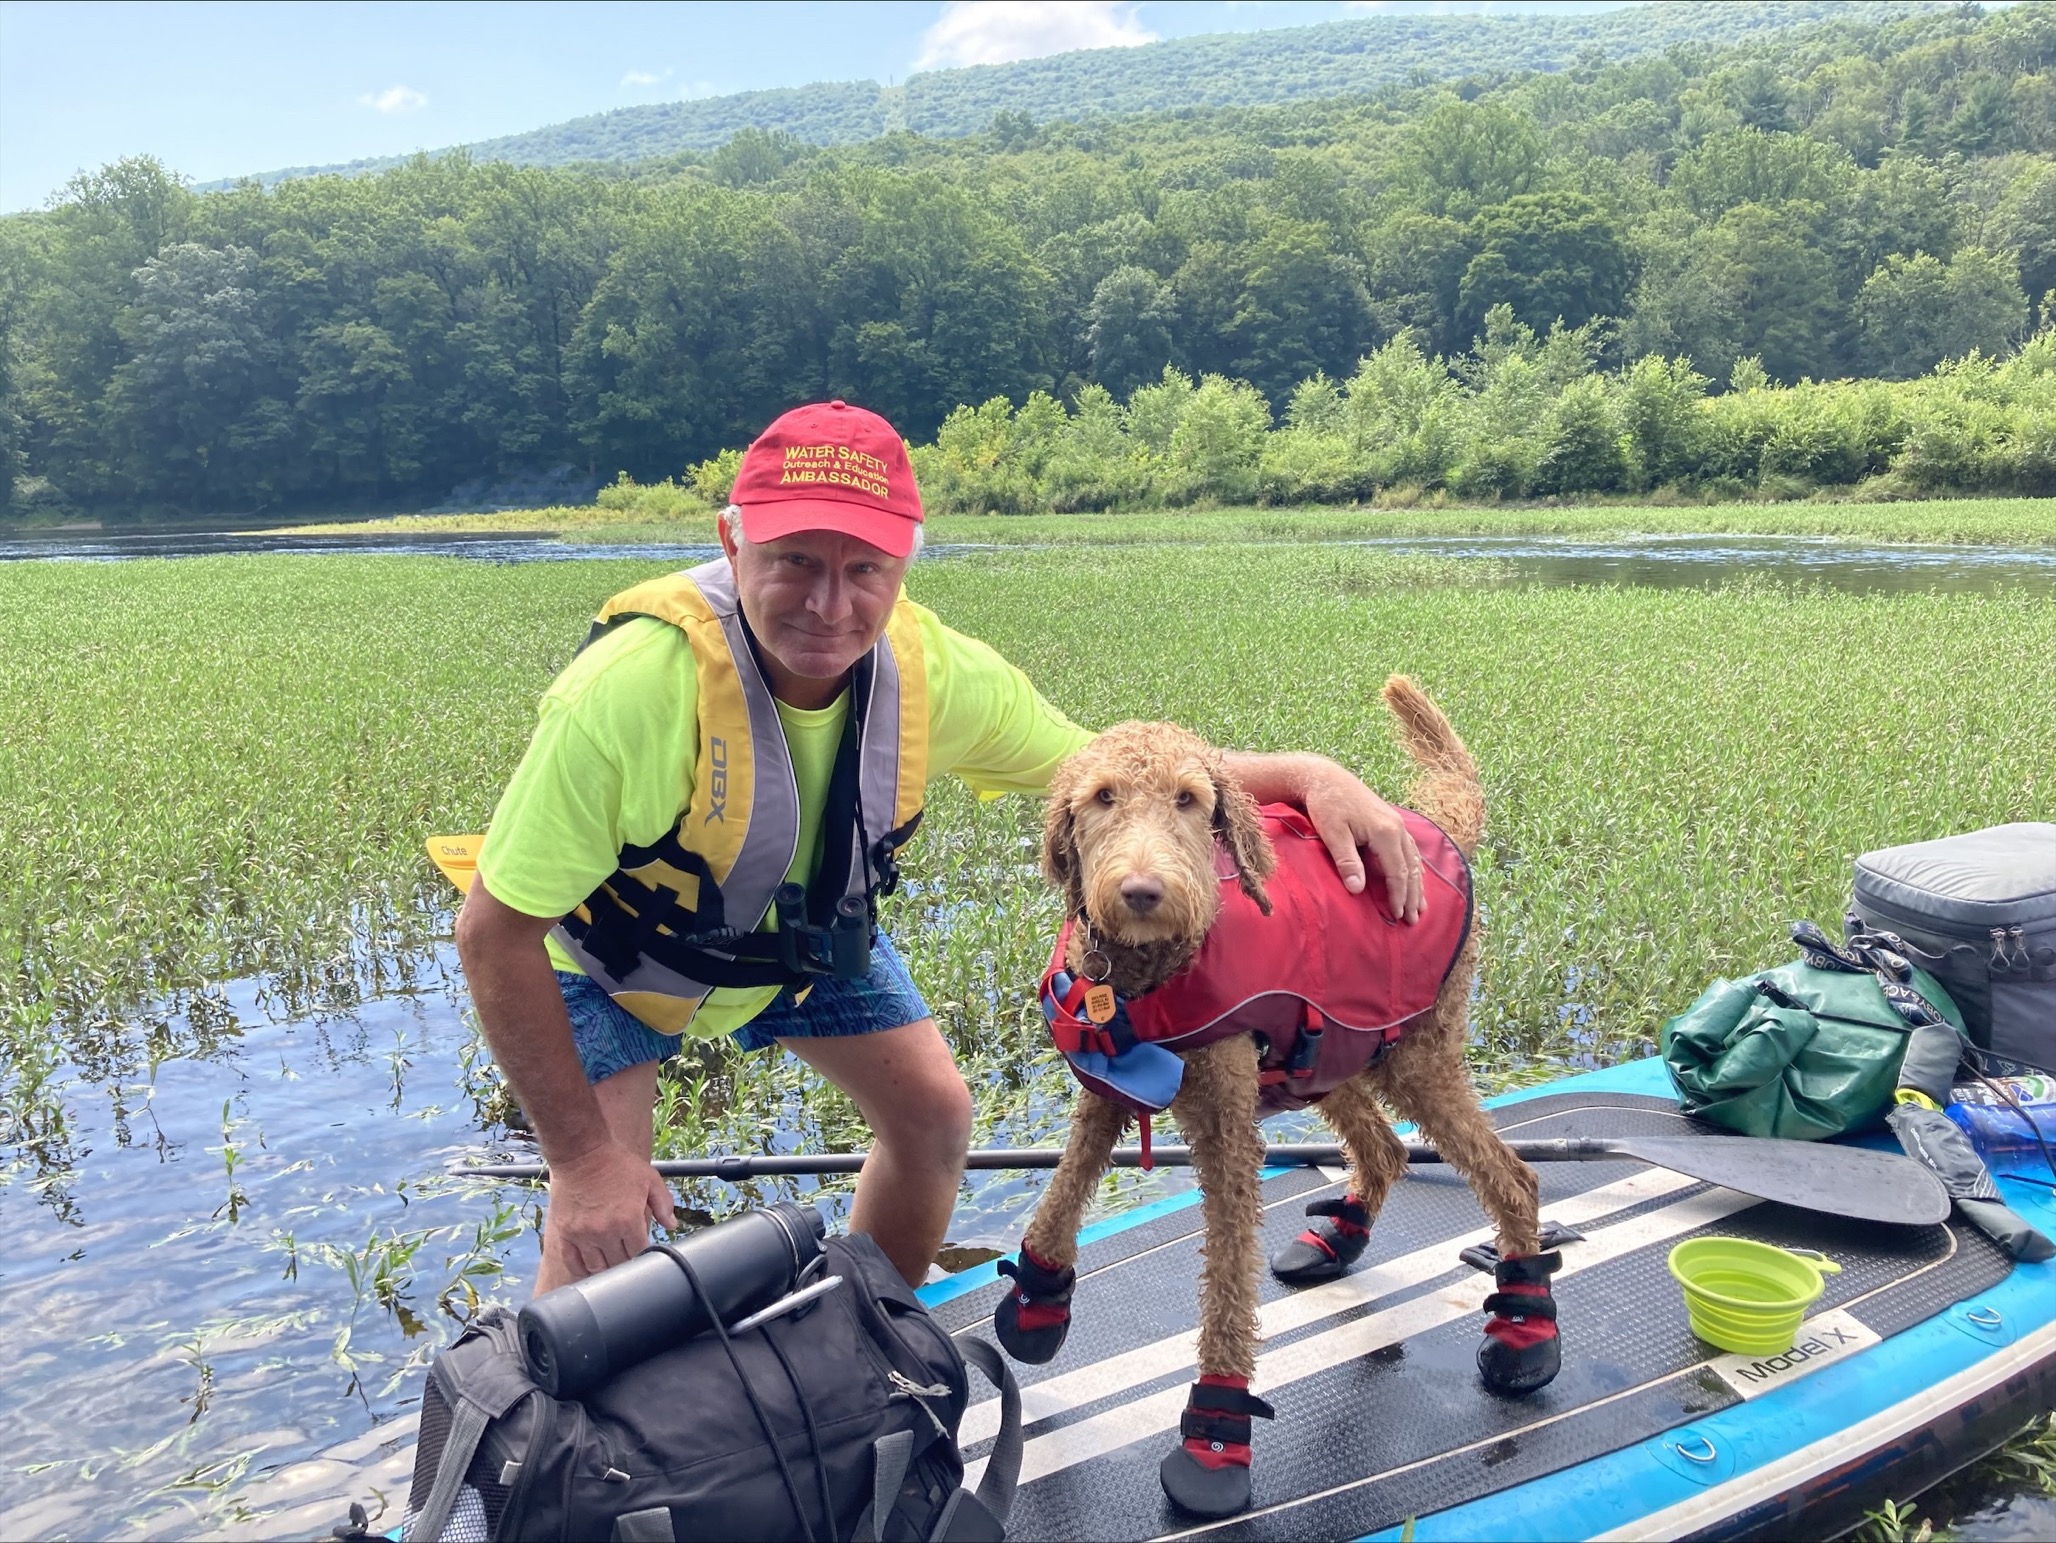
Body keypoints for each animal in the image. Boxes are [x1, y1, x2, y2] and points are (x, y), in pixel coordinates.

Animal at [995, 678, 1554, 1522]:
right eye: (1102, 797)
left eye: (1189, 798)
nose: (1142, 892)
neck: (1153, 971)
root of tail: (1435, 824)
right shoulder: (1105, 1087)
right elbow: (1061, 1193)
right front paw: (1037, 1297)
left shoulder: (1227, 1131)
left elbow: (1227, 1282)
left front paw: (1215, 1433)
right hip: (1336, 1052)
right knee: (1386, 1146)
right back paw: (1340, 1237)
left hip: (1414, 1055)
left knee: (1512, 1179)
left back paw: (1528, 1330)